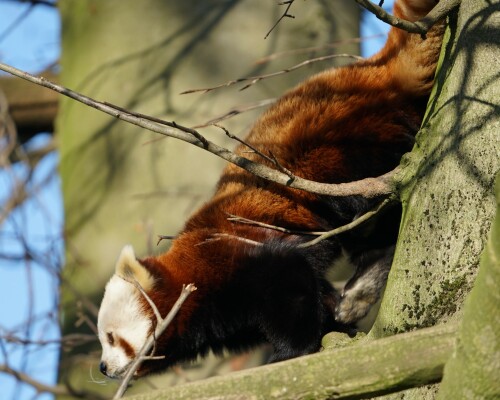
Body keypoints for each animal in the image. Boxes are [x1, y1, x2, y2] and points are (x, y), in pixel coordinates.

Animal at [97, 0, 446, 378]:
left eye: (112, 338)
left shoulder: (241, 257)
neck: (196, 280)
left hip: (350, 151)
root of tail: (374, 70)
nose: (102, 367)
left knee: (374, 209)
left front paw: (290, 352)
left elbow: (289, 282)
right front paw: (333, 325)